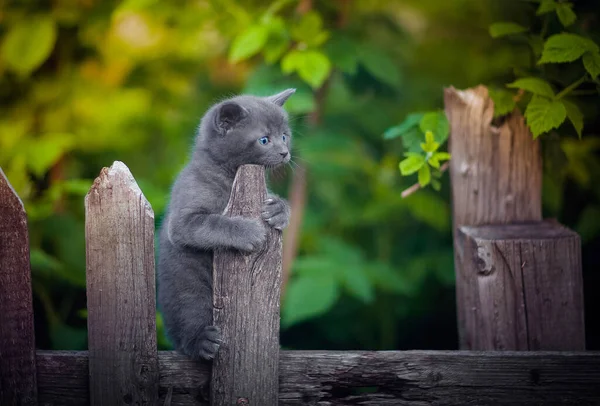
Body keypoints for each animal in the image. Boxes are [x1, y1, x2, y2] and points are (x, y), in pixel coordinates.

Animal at [156, 88, 294, 358]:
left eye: (285, 136)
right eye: (264, 140)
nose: (285, 152)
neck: (228, 176)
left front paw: (278, 210)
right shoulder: (183, 218)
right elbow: (213, 222)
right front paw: (248, 232)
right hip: (187, 290)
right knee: (189, 314)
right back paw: (202, 341)